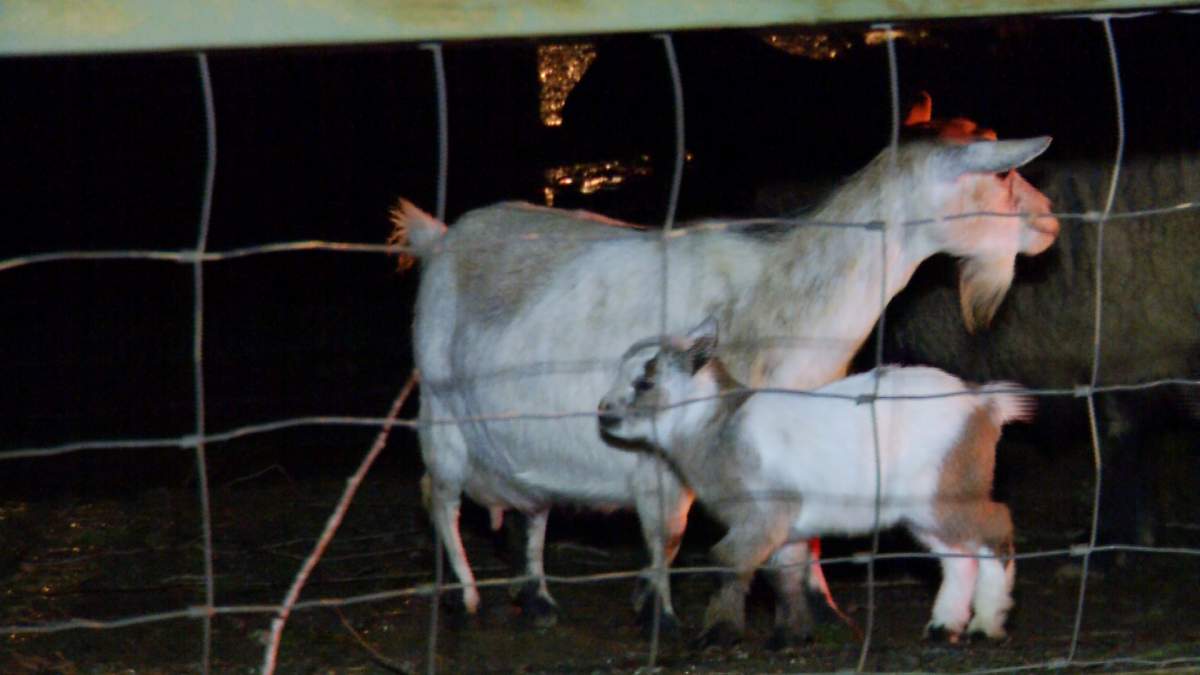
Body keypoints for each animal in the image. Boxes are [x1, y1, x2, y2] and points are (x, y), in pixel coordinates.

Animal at [597, 318, 1033, 646]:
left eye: (645, 382)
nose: (603, 412)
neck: (717, 425)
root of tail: (983, 404)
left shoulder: (766, 511)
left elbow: (727, 560)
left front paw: (717, 634)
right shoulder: (785, 527)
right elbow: (784, 574)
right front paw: (791, 636)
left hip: (950, 490)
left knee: (995, 529)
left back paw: (986, 625)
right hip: (923, 509)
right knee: (957, 556)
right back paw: (944, 627)